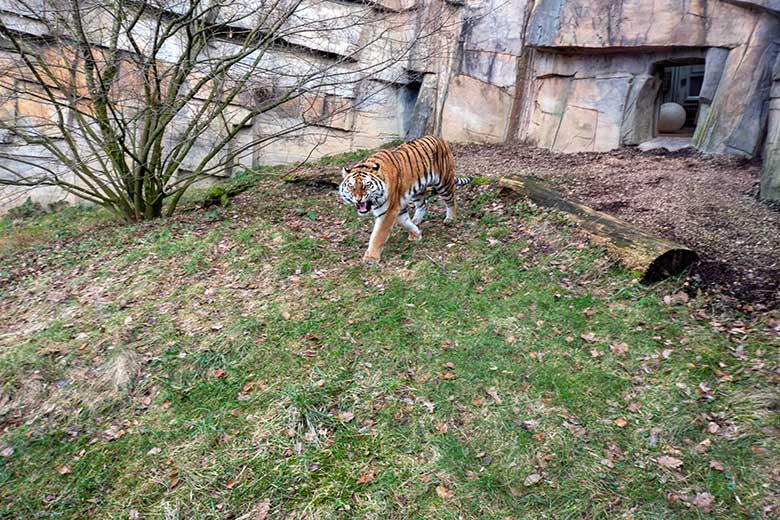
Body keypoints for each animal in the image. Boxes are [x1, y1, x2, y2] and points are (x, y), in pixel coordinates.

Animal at [338, 135, 472, 264]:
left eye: (366, 186)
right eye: (351, 186)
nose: (358, 199)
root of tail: (440, 139)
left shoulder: (388, 211)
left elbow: (378, 235)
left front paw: (371, 258)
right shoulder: (397, 207)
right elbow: (404, 222)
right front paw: (416, 234)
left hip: (444, 182)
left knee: (451, 200)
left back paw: (450, 218)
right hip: (417, 191)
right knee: (423, 205)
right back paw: (416, 220)